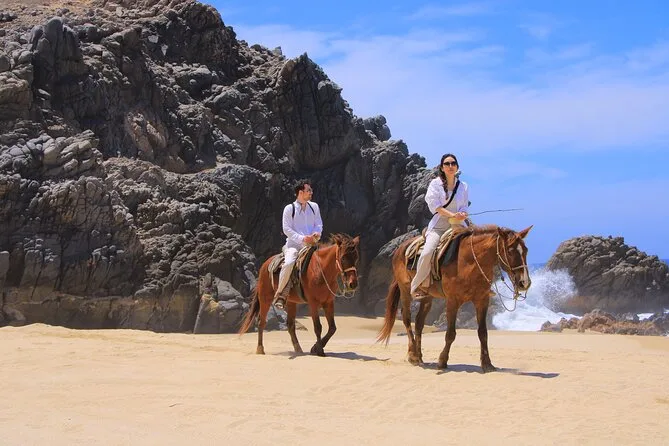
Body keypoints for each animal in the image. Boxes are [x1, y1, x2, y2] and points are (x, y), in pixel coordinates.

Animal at [377, 224, 532, 372]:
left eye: (526, 250)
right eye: (510, 251)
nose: (524, 283)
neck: (469, 262)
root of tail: (400, 249)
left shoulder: (482, 300)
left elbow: (483, 333)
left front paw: (487, 364)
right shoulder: (453, 301)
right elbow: (451, 333)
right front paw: (442, 361)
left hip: (427, 296)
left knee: (419, 322)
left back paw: (419, 356)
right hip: (405, 290)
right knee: (407, 318)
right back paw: (413, 355)